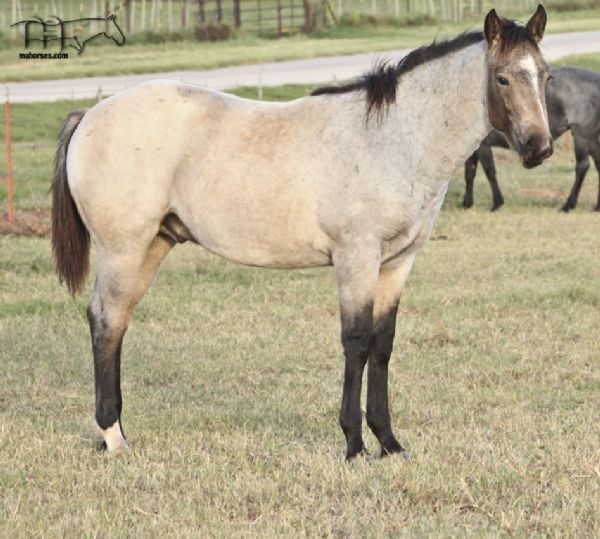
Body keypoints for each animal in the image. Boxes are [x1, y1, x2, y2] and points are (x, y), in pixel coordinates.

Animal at [52, 4, 552, 460]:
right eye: (502, 78)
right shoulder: (356, 258)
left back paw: (114, 432)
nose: (539, 148)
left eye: (545, 76)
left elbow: (383, 344)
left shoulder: (396, 263)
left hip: (153, 245)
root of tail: (91, 114)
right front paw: (353, 445)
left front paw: (389, 443)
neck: (393, 139)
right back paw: (114, 437)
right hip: (123, 250)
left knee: (116, 323)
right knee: (104, 321)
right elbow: (356, 342)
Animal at [464, 66, 600, 212]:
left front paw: (496, 204)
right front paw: (466, 203)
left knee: (582, 167)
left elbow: (490, 171)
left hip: (582, 138)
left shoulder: (483, 146)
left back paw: (568, 205)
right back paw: (597, 206)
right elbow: (470, 172)